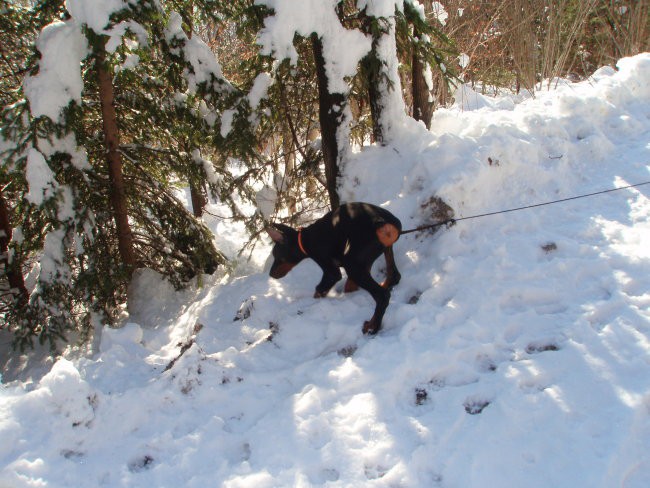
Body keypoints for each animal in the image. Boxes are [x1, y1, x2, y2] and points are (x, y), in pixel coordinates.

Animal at [264, 200, 400, 334]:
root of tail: (382, 222)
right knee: (394, 276)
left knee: (382, 296)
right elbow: (348, 287)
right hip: (380, 252)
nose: (270, 274)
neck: (305, 239)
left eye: (277, 256)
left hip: (353, 265)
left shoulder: (330, 270)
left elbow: (319, 290)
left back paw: (373, 326)